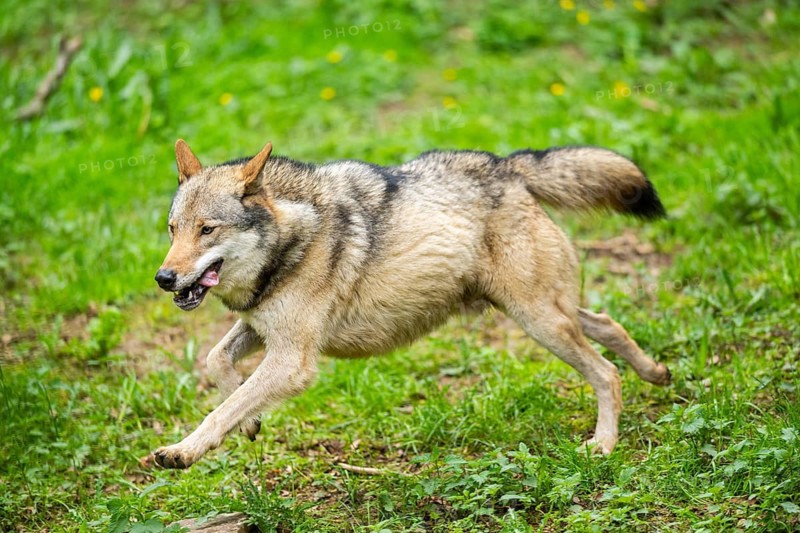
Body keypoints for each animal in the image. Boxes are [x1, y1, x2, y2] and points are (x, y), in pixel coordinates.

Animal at [152, 139, 670, 469]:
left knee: (606, 372)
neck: (297, 231)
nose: (163, 278)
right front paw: (251, 424)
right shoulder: (262, 331)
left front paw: (181, 451)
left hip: (540, 322)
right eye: (174, 229)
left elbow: (221, 408)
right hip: (538, 312)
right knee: (607, 325)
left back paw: (603, 445)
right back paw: (657, 373)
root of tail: (507, 165)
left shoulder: (293, 360)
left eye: (208, 229)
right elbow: (218, 364)